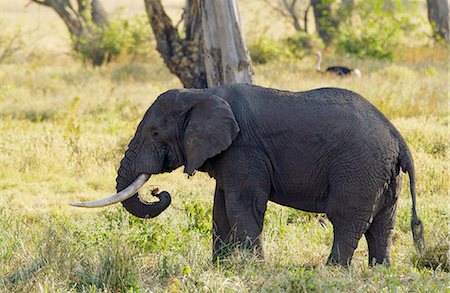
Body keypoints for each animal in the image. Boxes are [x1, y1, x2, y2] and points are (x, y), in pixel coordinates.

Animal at [71, 82, 426, 264]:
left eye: (156, 134)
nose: (159, 192)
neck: (202, 93)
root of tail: (397, 137)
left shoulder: (244, 149)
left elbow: (244, 204)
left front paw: (254, 270)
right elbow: (220, 208)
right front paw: (220, 268)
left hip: (358, 169)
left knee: (347, 219)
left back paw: (332, 272)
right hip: (383, 175)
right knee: (382, 225)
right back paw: (378, 273)